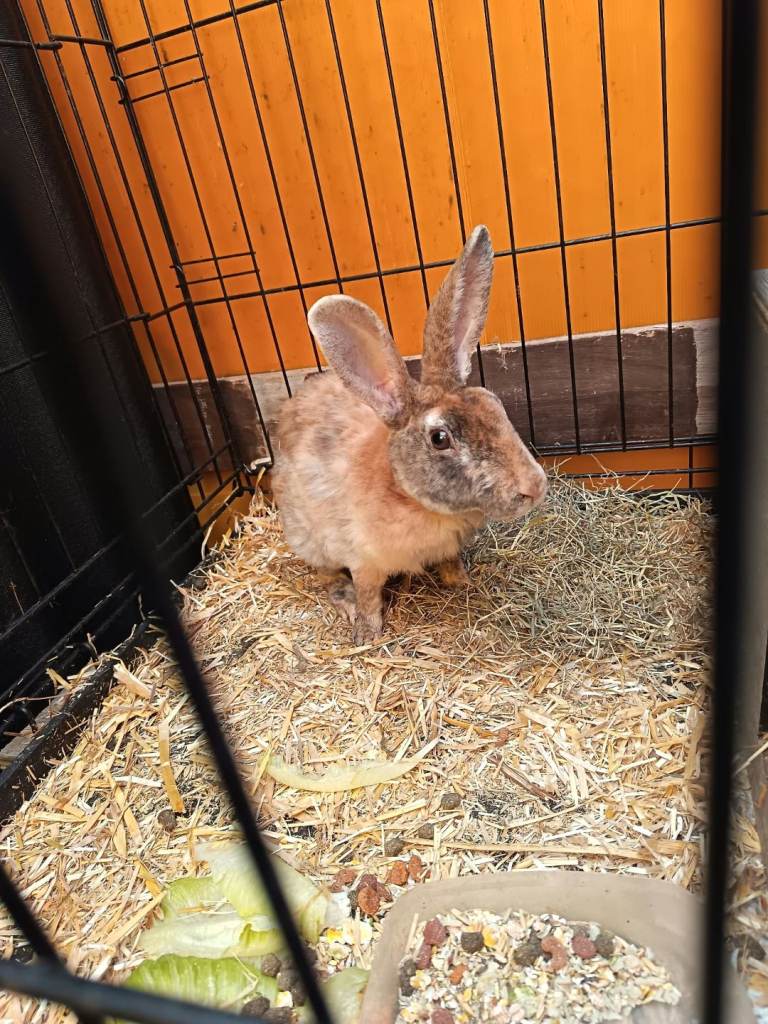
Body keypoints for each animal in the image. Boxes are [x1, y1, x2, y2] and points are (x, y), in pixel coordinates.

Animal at [271, 225, 547, 644]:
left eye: (494, 404)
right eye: (440, 438)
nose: (535, 486)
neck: (408, 494)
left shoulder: (447, 549)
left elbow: (451, 566)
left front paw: (465, 583)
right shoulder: (364, 560)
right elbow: (369, 594)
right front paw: (367, 634)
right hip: (309, 538)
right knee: (325, 572)